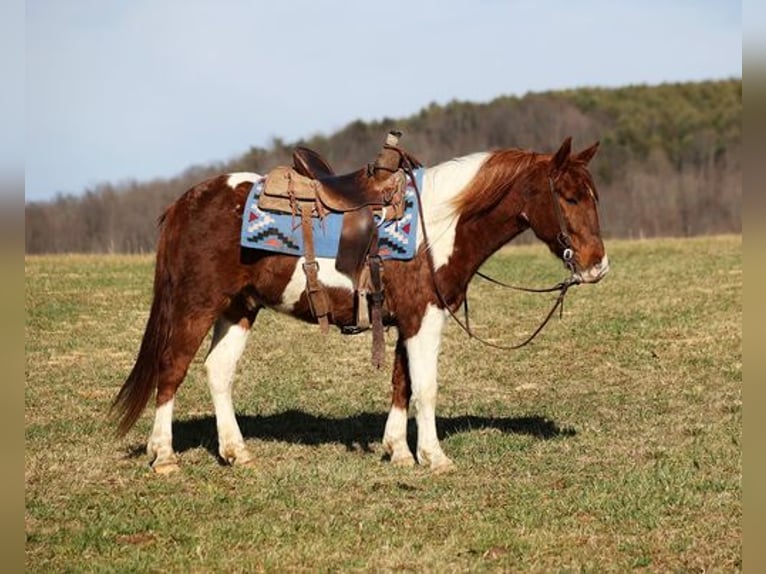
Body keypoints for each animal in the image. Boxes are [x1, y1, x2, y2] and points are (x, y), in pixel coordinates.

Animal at [112, 137, 612, 474]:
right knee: (172, 368)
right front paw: (434, 456)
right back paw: (164, 456)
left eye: (594, 196)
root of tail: (185, 202)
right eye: (569, 197)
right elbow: (426, 388)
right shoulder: (424, 318)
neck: (438, 226)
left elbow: (401, 385)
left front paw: (398, 451)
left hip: (238, 309)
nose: (597, 266)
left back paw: (236, 452)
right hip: (196, 305)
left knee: (218, 371)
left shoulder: (405, 320)